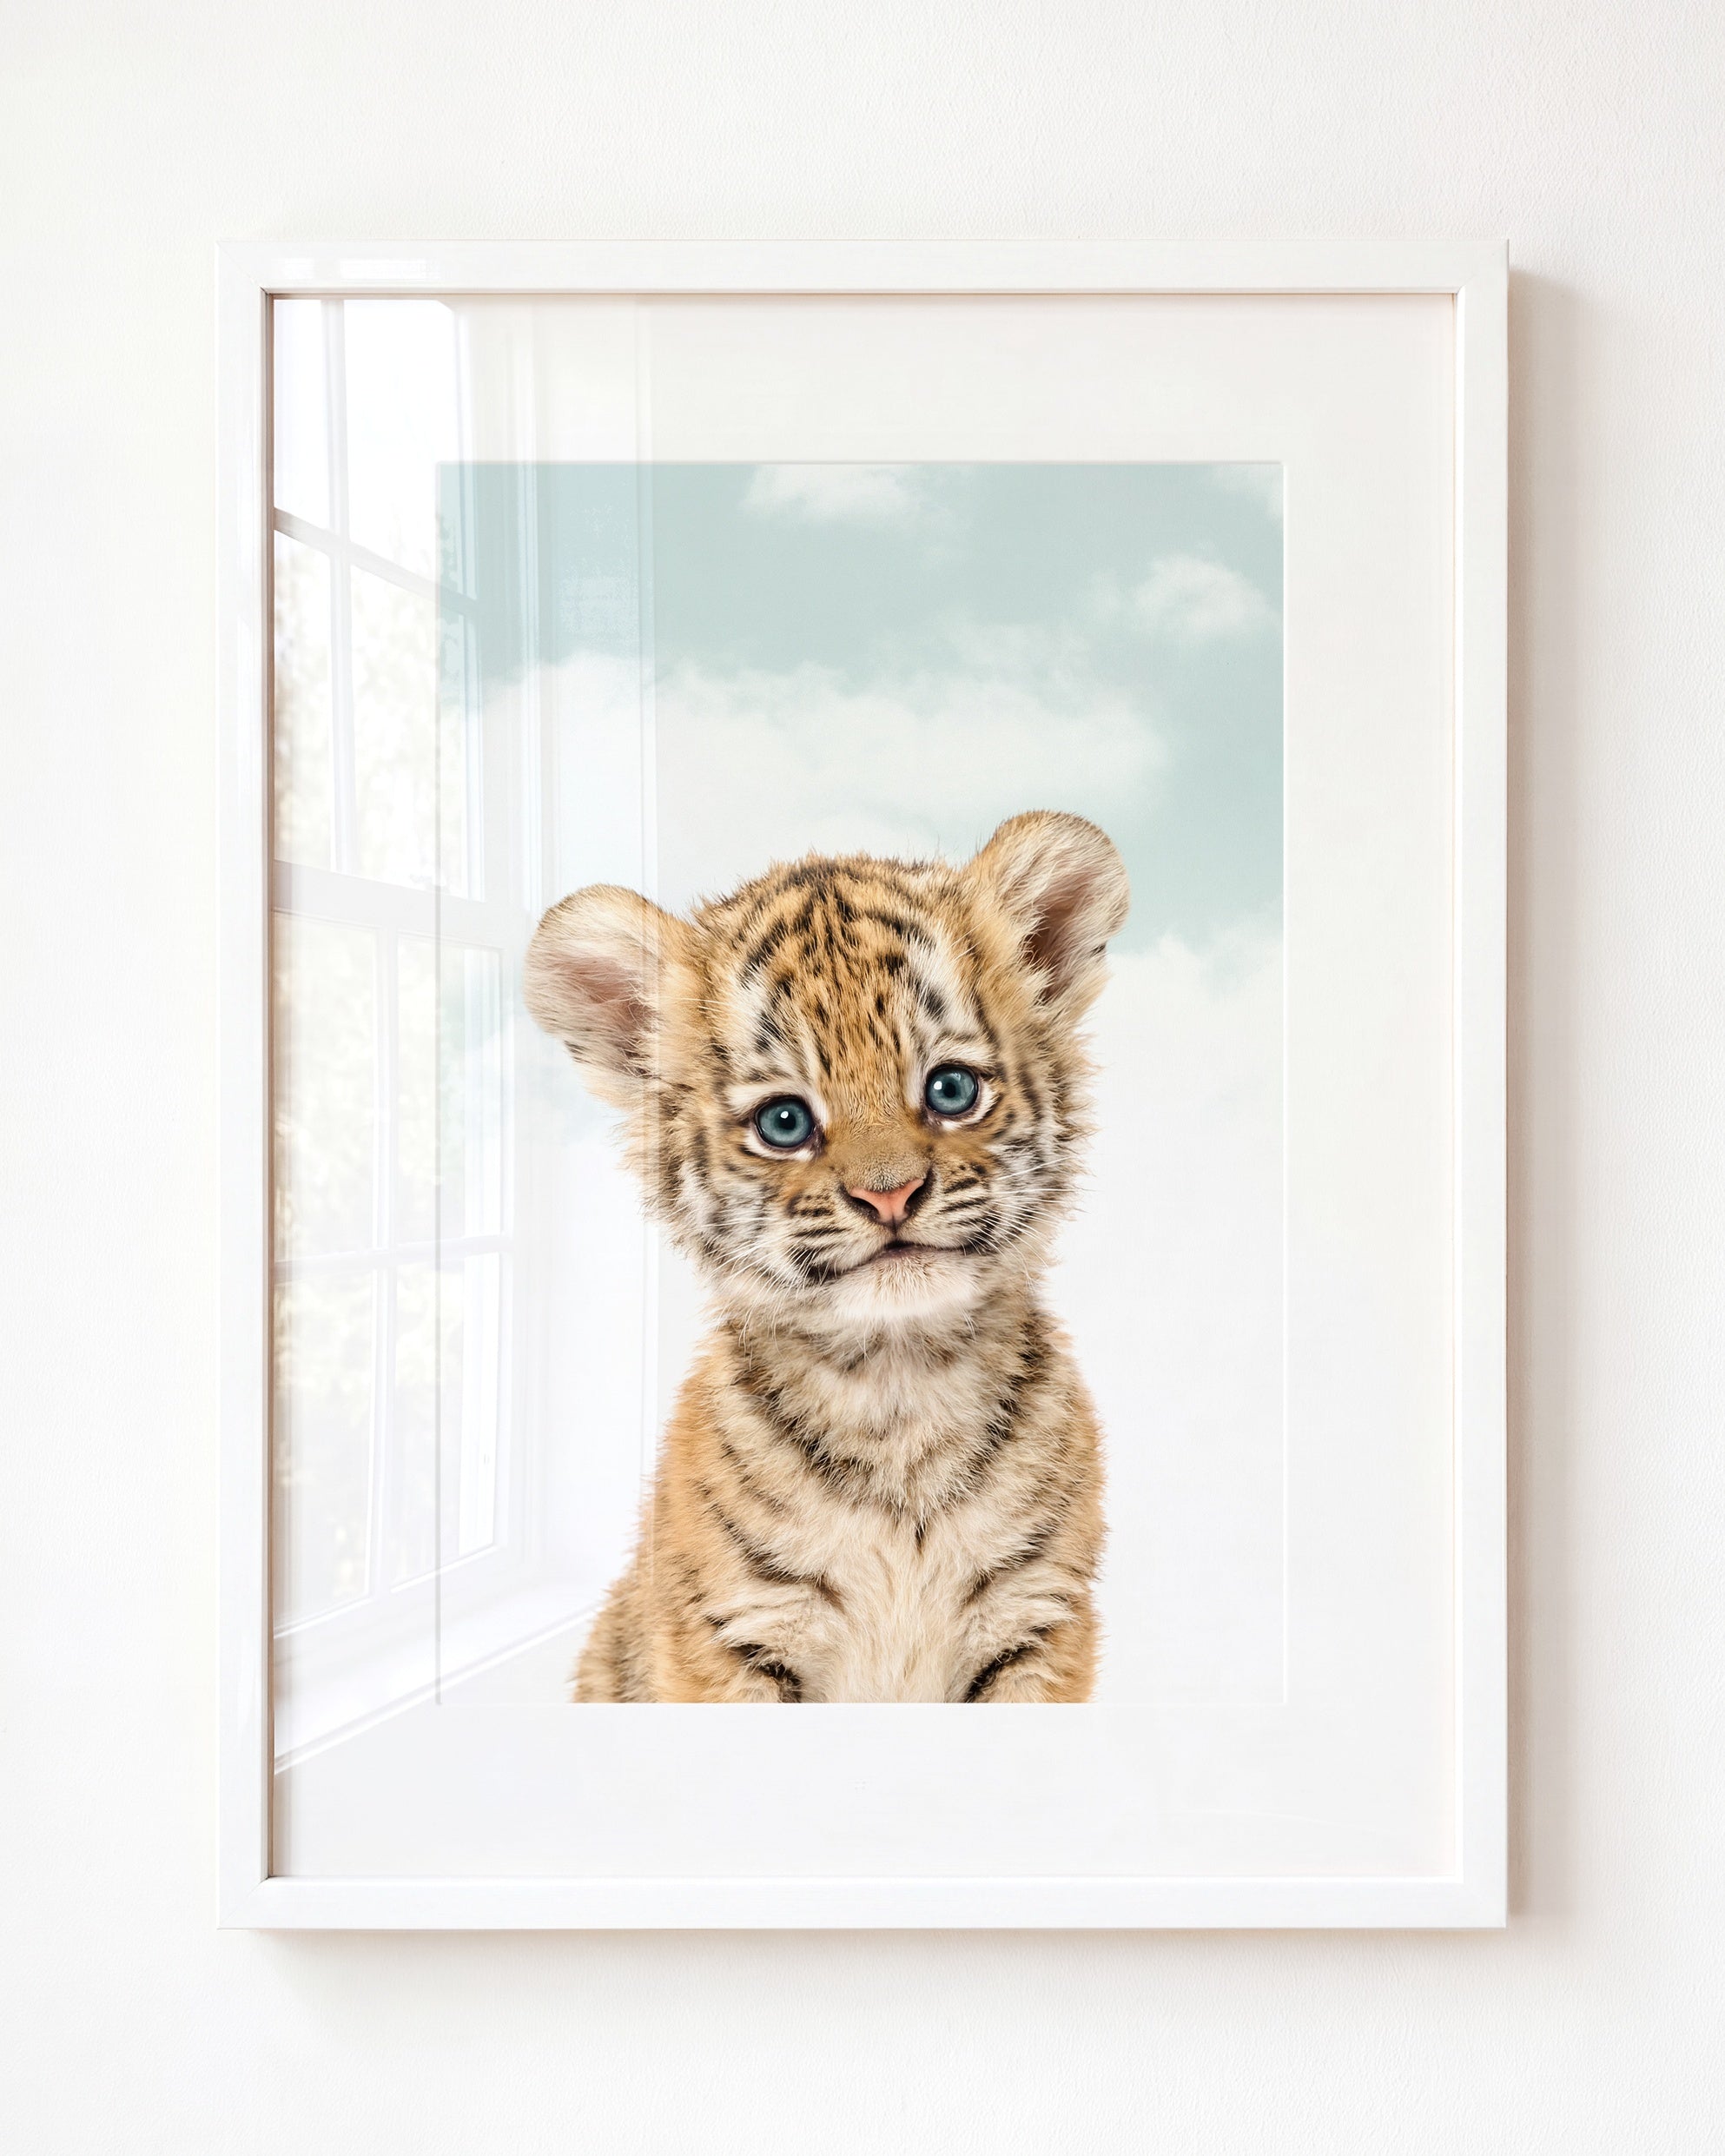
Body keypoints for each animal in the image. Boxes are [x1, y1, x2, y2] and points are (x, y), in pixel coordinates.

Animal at [523, 809, 1129, 1703]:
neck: (900, 1391)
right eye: (784, 1122)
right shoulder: (732, 1636)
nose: (890, 1195)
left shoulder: (1037, 1620)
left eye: (951, 1090)